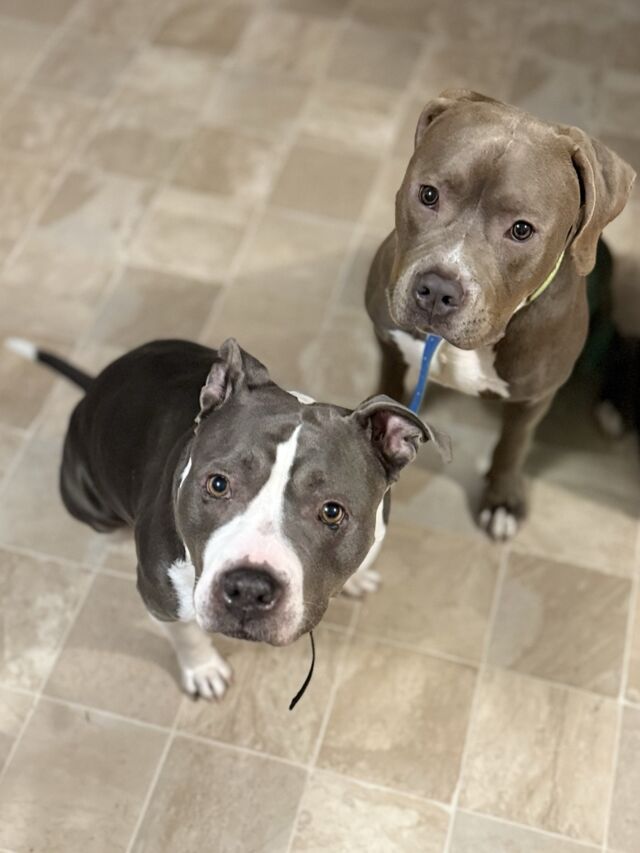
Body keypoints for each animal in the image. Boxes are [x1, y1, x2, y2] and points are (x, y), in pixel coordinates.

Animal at [5, 336, 449, 699]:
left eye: (332, 510)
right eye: (218, 484)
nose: (250, 589)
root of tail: (95, 384)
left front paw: (357, 578)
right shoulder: (160, 595)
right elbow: (186, 633)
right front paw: (203, 670)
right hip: (85, 498)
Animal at [366, 88, 636, 540]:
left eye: (522, 229)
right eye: (428, 194)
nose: (437, 290)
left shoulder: (534, 397)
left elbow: (513, 445)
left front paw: (502, 500)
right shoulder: (388, 341)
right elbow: (386, 385)